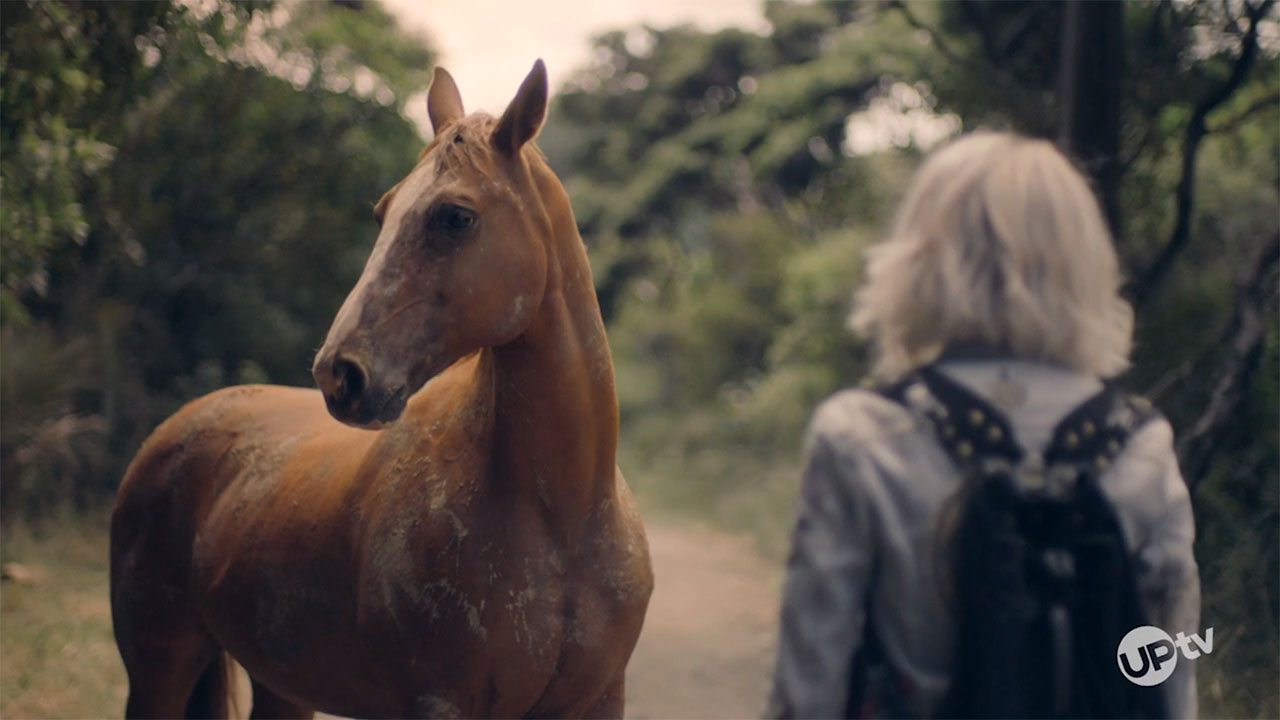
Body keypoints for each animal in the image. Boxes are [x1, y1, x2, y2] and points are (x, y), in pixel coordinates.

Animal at [109, 60, 653, 719]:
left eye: (455, 216)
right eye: (382, 213)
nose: (338, 373)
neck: (562, 520)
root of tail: (176, 428)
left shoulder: (598, 700)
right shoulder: (440, 703)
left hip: (281, 687)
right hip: (157, 671)